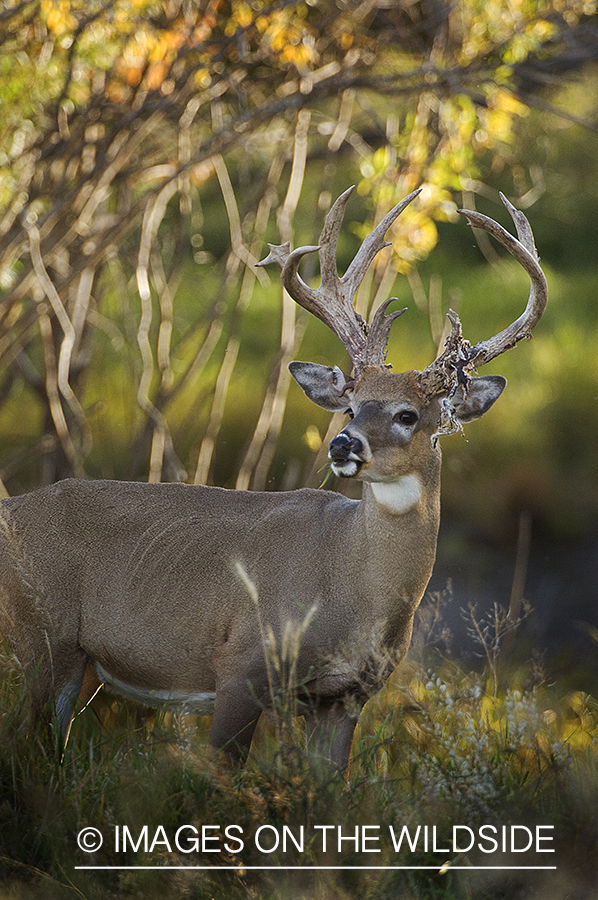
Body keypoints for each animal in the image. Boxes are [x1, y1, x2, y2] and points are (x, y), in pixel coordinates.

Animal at [0, 186, 548, 768]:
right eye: (351, 404)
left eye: (408, 414)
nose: (342, 444)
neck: (351, 592)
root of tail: (9, 507)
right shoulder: (242, 664)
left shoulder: (346, 697)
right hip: (42, 633)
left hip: (66, 652)